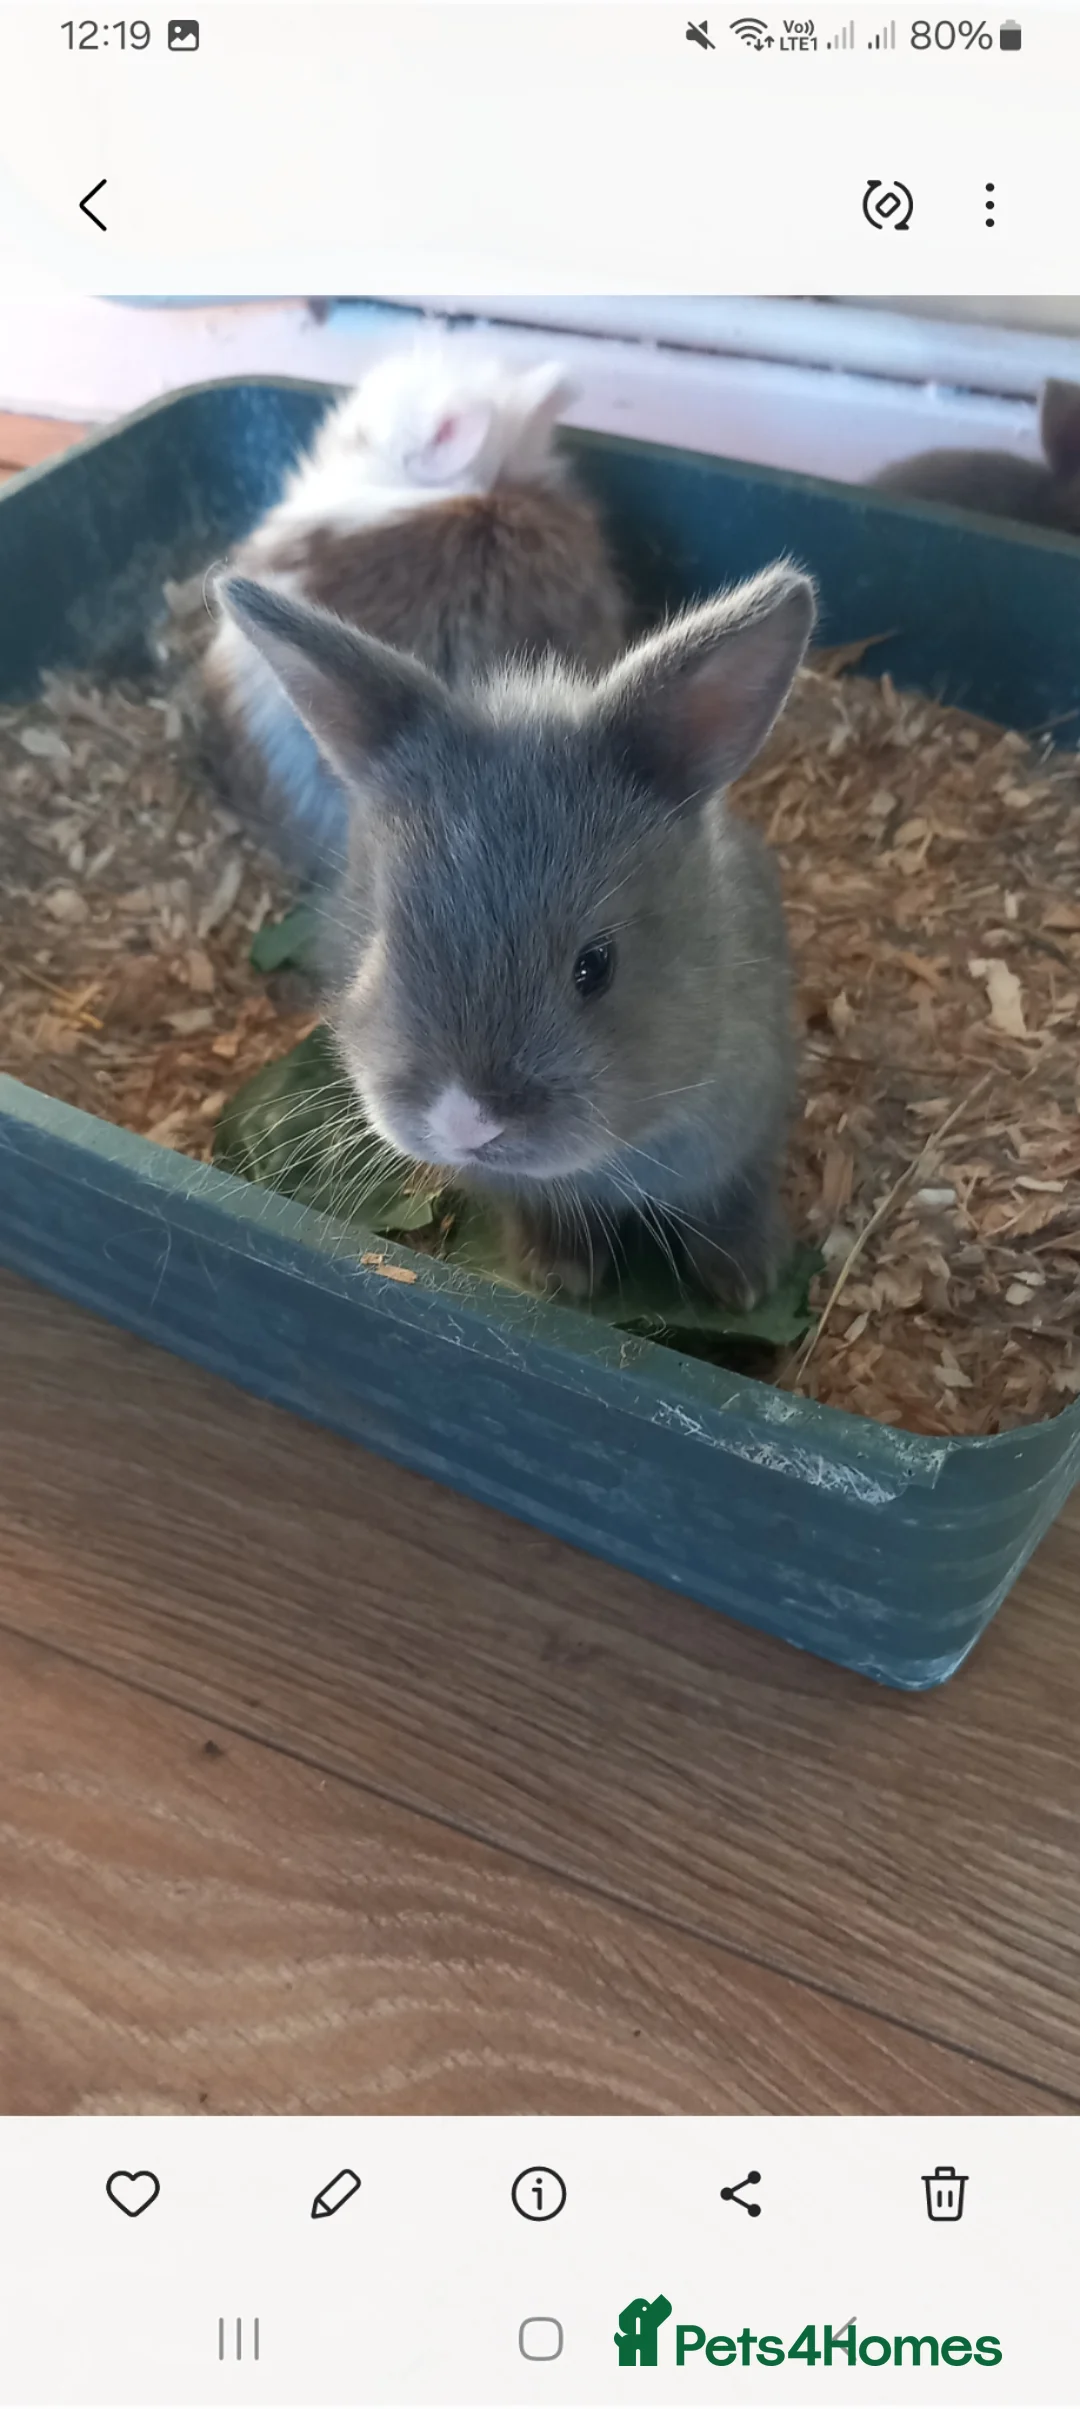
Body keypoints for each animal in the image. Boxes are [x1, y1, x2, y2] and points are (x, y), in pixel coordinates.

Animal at [213, 560, 816, 1309]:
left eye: (596, 965)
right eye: (381, 945)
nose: (465, 1122)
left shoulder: (746, 1134)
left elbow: (731, 1204)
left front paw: (748, 1283)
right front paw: (556, 1277)